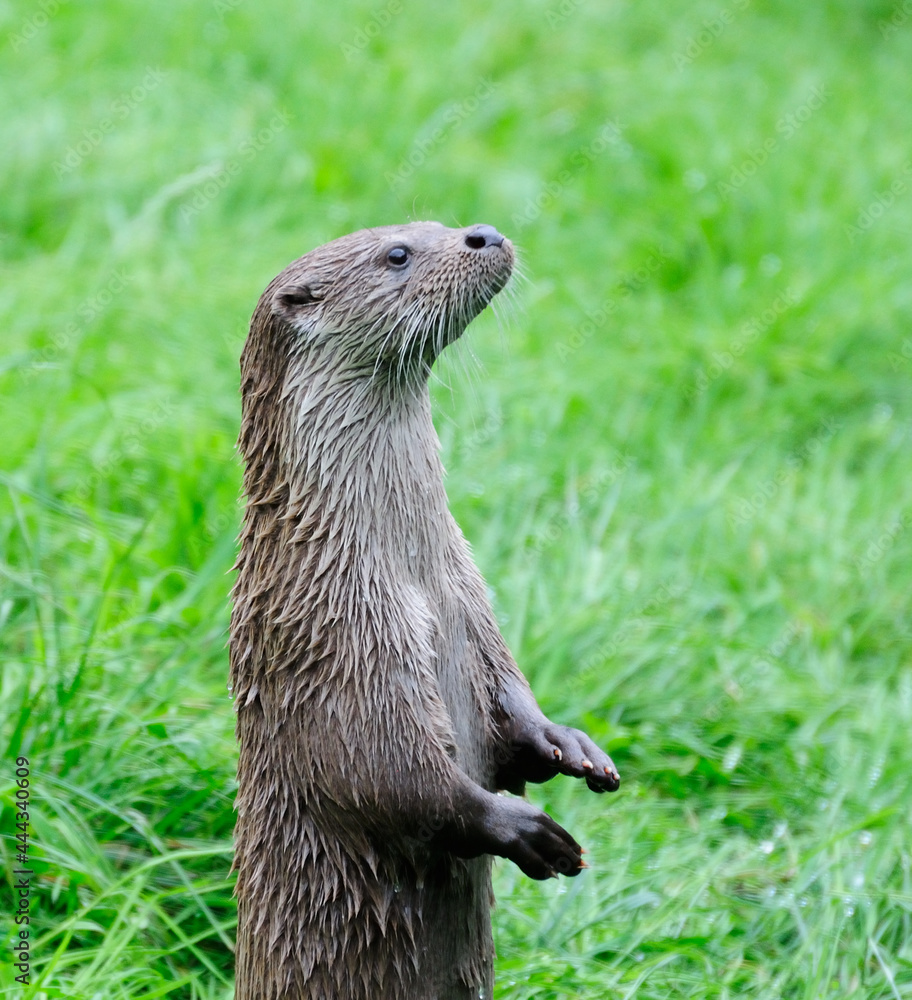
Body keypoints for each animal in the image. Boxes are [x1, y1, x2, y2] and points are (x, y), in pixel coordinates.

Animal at [232, 221, 624, 1000]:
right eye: (397, 254)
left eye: (435, 225)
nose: (485, 233)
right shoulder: (332, 638)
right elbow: (386, 774)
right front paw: (520, 827)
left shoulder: (473, 605)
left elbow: (509, 702)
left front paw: (568, 743)